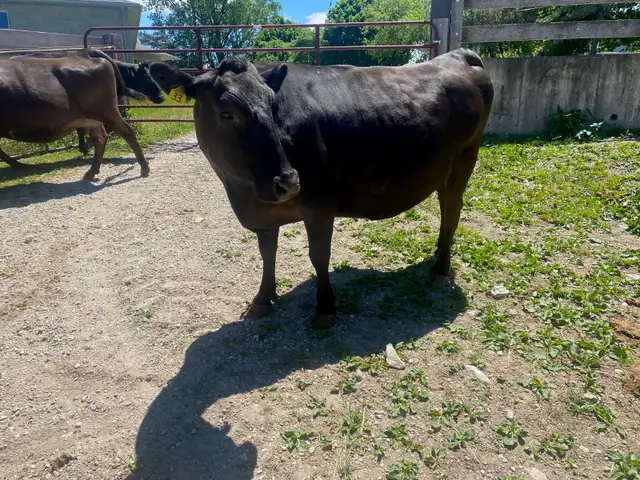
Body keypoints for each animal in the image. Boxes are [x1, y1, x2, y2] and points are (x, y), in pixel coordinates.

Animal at [0, 48, 155, 180]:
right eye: (146, 77)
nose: (158, 95)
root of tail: (84, 53)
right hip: (93, 117)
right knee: (101, 137)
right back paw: (92, 171)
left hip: (106, 111)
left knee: (126, 131)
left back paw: (144, 168)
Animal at [150, 49, 494, 328]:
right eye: (226, 113)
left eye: (273, 106)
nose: (288, 181)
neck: (242, 193)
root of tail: (457, 56)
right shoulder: (264, 211)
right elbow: (267, 252)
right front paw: (263, 298)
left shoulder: (319, 203)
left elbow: (319, 255)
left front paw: (325, 308)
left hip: (465, 159)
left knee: (452, 211)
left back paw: (439, 269)